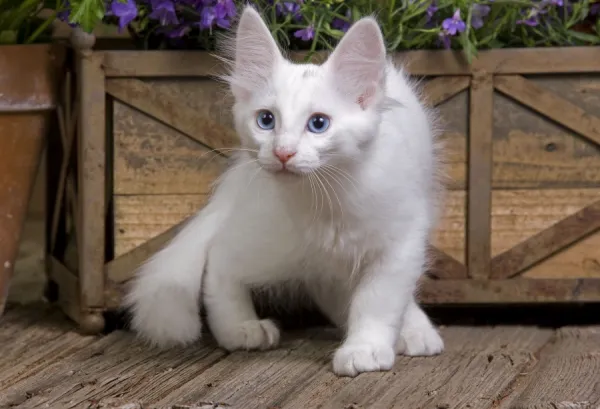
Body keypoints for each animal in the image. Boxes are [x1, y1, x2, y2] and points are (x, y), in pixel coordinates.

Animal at [124, 6, 446, 376]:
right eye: (266, 120)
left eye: (318, 124)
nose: (282, 153)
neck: (328, 198)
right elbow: (219, 263)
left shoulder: (400, 243)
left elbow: (377, 301)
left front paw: (365, 346)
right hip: (273, 242)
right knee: (222, 256)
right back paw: (241, 328)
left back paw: (414, 329)